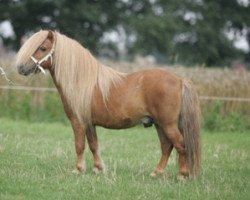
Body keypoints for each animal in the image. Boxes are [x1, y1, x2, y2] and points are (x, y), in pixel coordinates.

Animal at [15, 30, 200, 180]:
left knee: (181, 145)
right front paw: (98, 169)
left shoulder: (78, 122)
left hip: (168, 124)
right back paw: (156, 173)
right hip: (159, 125)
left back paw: (182, 175)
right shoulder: (89, 123)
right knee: (167, 147)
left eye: (43, 48)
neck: (82, 81)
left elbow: (79, 145)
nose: (21, 68)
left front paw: (78, 169)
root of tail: (180, 80)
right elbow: (93, 145)